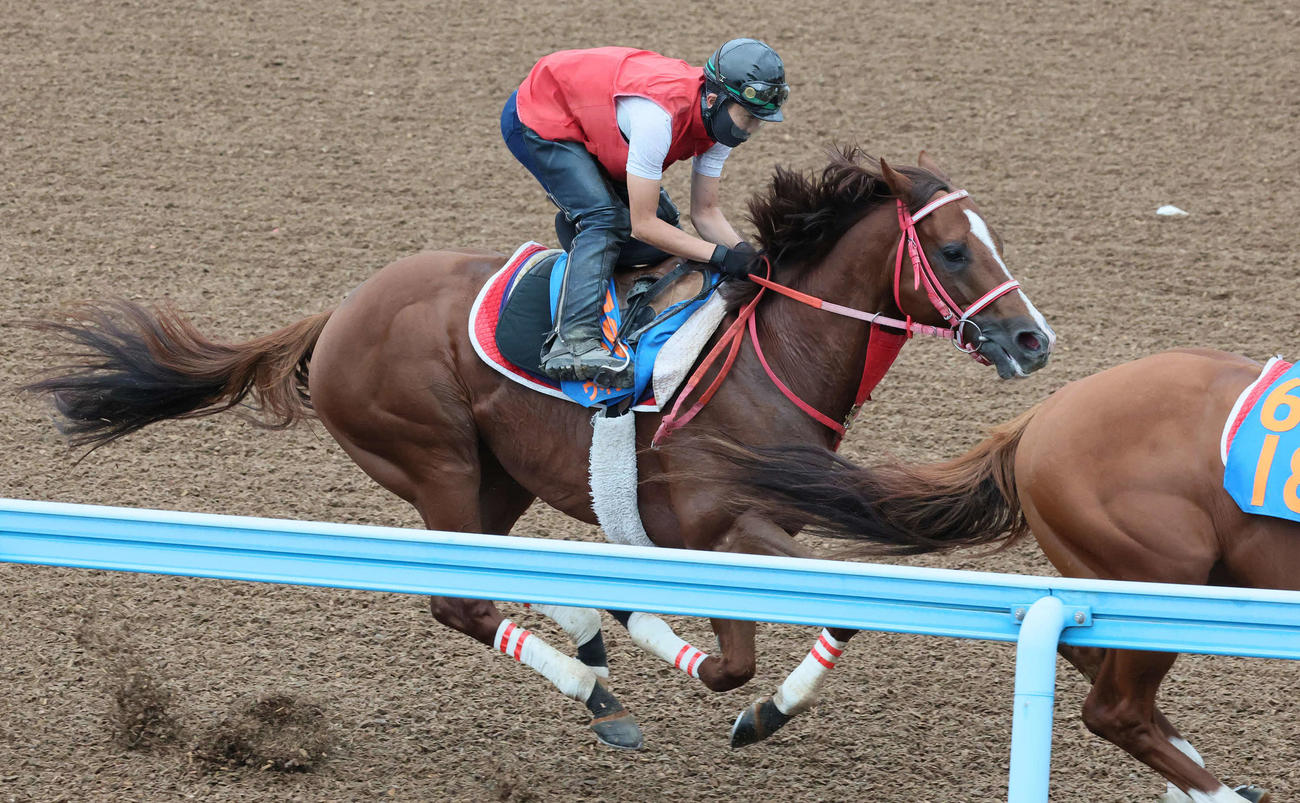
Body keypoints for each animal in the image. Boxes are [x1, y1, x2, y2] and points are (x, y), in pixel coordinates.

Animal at [23, 148, 1054, 751]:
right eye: (953, 250)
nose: (1033, 339)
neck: (771, 358)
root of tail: (340, 312)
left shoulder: (753, 531)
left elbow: (832, 615)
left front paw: (679, 652)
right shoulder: (723, 527)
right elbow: (738, 661)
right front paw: (738, 698)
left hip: (495, 475)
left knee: (483, 577)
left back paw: (594, 638)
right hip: (433, 456)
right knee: (459, 598)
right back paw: (593, 682)